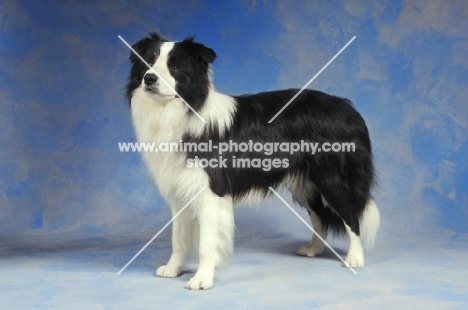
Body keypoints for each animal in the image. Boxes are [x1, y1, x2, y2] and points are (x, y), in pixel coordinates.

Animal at [125, 32, 380, 290]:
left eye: (175, 67)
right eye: (148, 62)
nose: (149, 78)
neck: (181, 110)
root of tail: (348, 108)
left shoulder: (212, 190)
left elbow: (207, 241)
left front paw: (201, 279)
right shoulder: (180, 190)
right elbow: (178, 237)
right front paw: (173, 269)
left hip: (331, 178)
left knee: (352, 215)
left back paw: (354, 258)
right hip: (305, 185)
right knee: (320, 217)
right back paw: (313, 249)